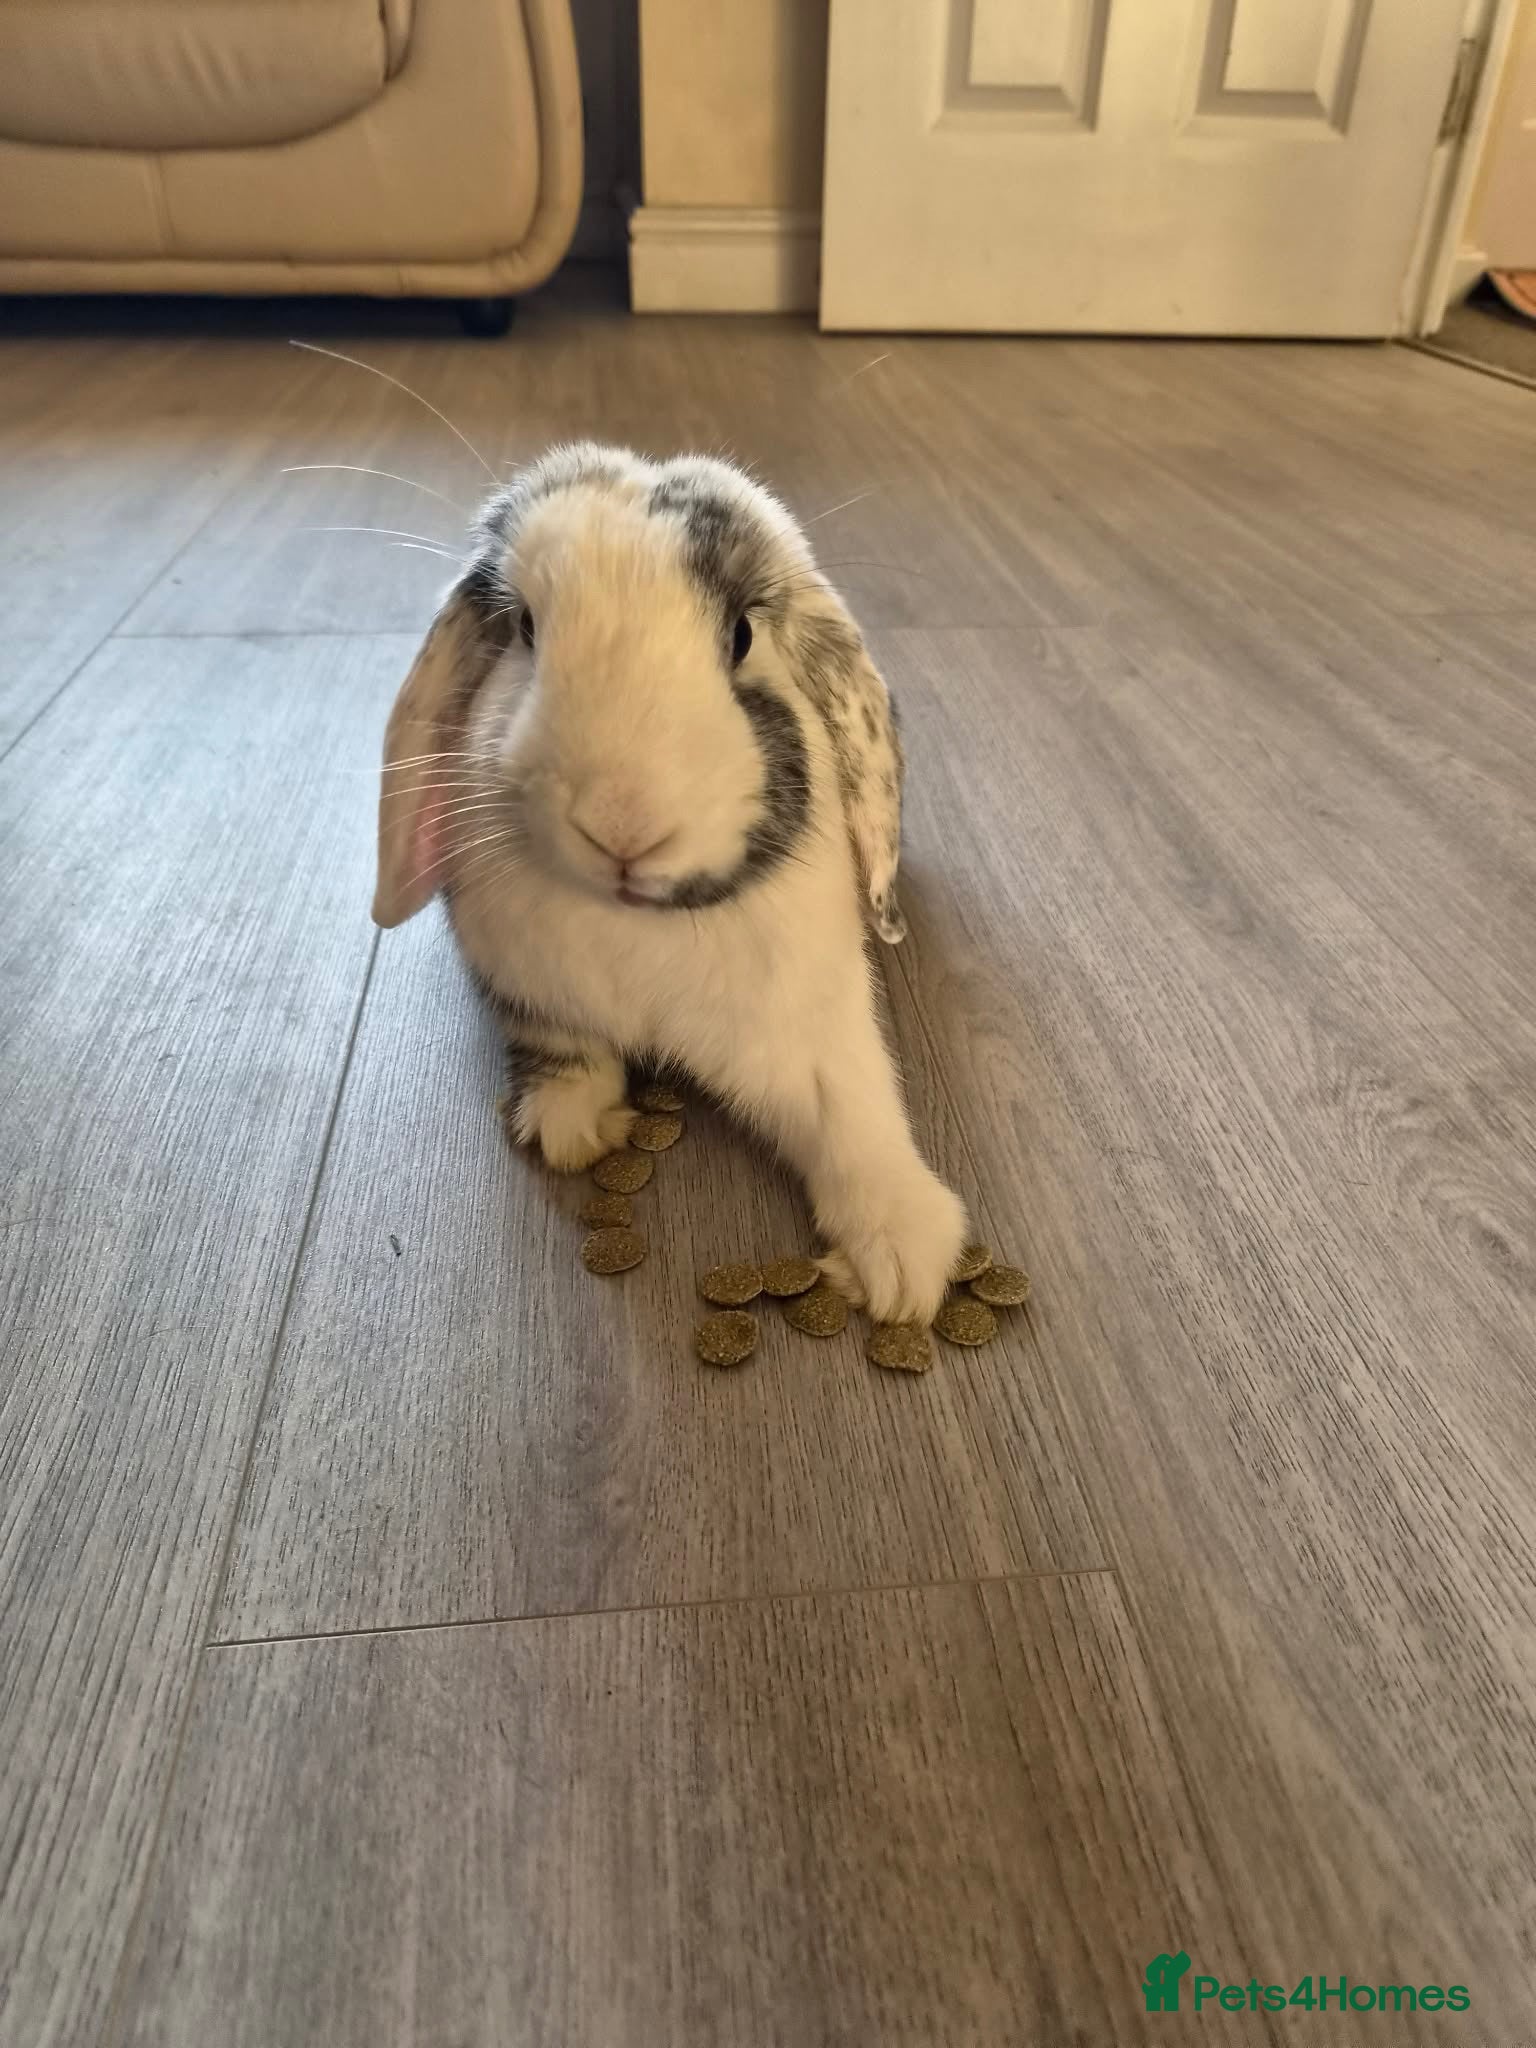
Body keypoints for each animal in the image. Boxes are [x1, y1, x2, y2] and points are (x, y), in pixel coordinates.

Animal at [372, 443, 967, 1325]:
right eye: (524, 628)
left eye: (743, 634)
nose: (621, 822)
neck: (639, 925)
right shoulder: (536, 996)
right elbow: (566, 1052)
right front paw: (573, 1126)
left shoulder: (812, 1035)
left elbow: (854, 1115)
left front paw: (900, 1265)